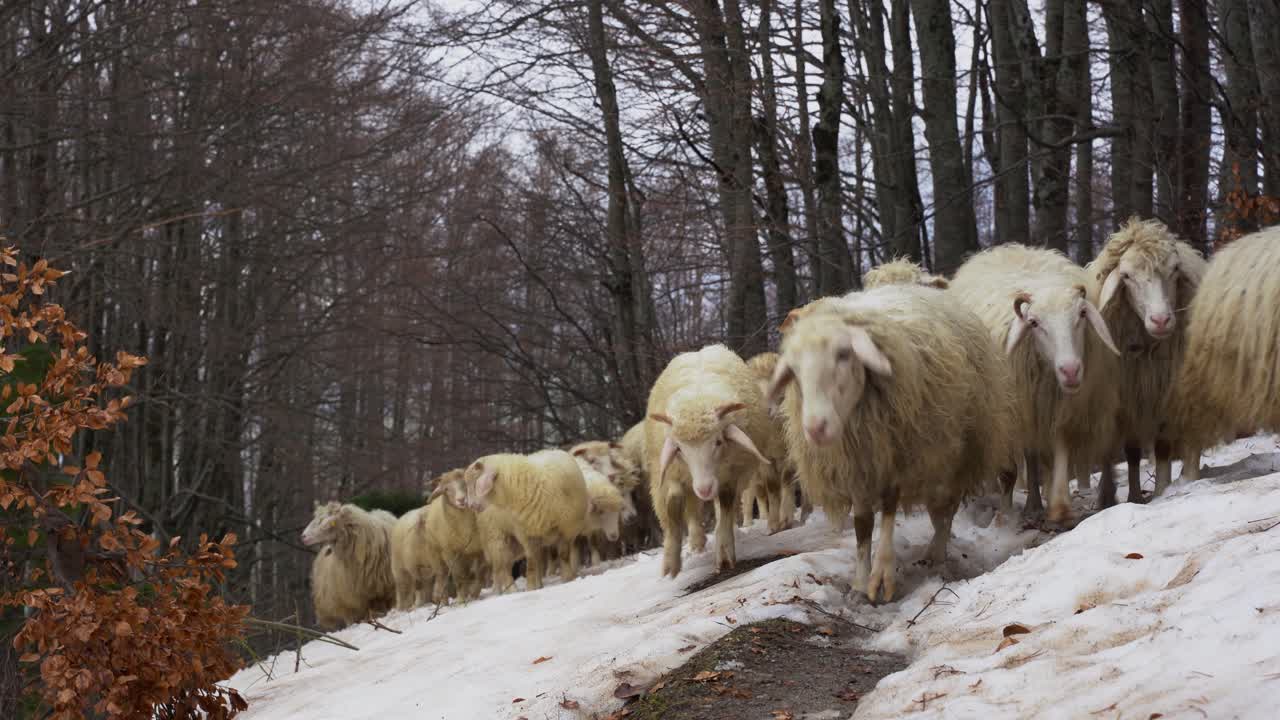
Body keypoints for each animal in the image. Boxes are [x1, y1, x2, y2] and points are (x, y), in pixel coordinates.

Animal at [462, 449, 589, 590]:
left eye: (474, 483)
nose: (470, 505)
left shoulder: (568, 529)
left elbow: (562, 554)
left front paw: (567, 578)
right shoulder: (526, 534)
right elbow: (532, 561)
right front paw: (531, 587)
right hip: (496, 537)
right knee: (503, 568)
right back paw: (511, 590)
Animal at [646, 344, 774, 578]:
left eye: (718, 441)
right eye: (679, 449)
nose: (704, 489)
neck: (698, 397)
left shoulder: (730, 475)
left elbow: (725, 505)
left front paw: (724, 552)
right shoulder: (672, 472)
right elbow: (673, 503)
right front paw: (671, 562)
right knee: (692, 508)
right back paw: (696, 542)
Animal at [764, 284, 1017, 603]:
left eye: (844, 353)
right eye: (794, 369)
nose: (816, 428)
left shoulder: (896, 457)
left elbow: (887, 510)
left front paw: (881, 577)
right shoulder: (858, 467)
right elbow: (862, 526)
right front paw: (860, 583)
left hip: (961, 451)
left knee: (948, 506)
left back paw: (936, 552)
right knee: (940, 510)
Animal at [949, 244, 1121, 526]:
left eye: (1082, 314)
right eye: (1034, 323)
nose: (1071, 370)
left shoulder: (1063, 408)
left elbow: (1061, 447)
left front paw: (1060, 507)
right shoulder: (1016, 411)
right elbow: (1016, 465)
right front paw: (1015, 512)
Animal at [1087, 218, 1207, 505]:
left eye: (1175, 270)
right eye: (1126, 276)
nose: (1161, 320)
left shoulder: (1166, 392)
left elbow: (1163, 447)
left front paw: (1162, 490)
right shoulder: (1125, 400)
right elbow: (1128, 452)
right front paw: (1128, 497)